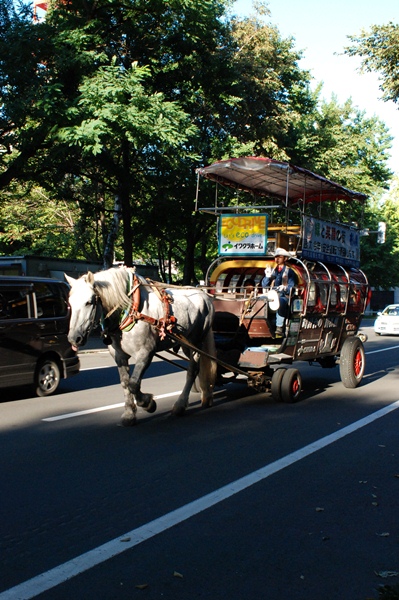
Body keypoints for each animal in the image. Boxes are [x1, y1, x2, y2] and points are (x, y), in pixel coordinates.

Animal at [65, 268, 217, 426]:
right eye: (69, 303)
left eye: (89, 302)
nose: (74, 338)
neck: (131, 310)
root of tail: (205, 295)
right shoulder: (119, 356)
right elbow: (125, 383)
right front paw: (129, 414)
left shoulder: (145, 353)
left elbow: (133, 384)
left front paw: (148, 403)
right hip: (185, 344)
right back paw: (205, 394)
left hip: (195, 343)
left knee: (193, 370)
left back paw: (181, 405)